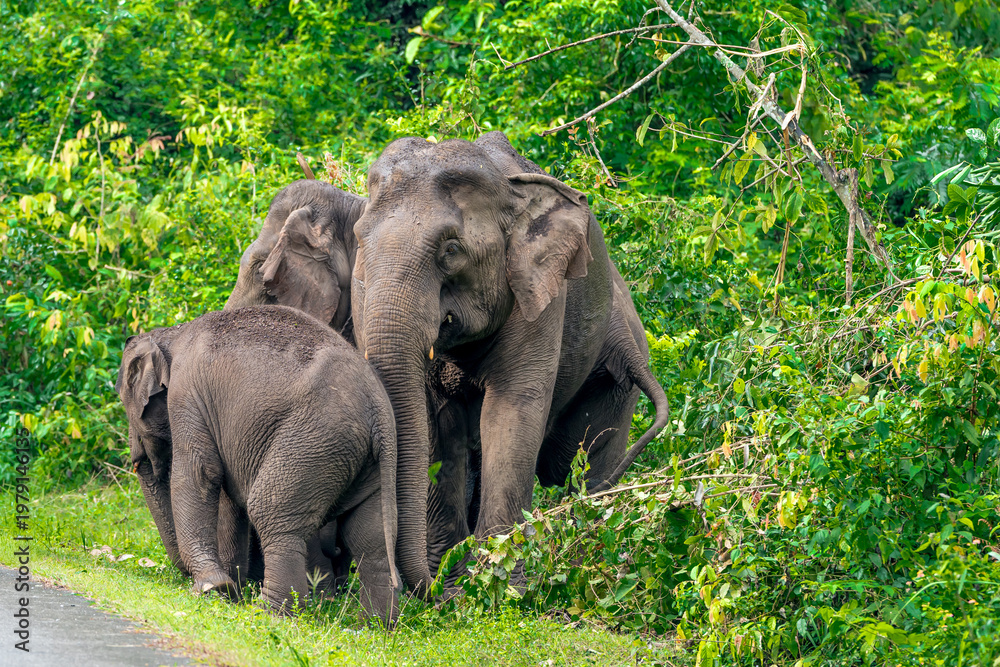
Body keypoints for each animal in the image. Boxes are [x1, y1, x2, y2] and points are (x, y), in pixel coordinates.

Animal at [114, 305, 406, 623]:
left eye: (125, 402)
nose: (140, 454)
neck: (171, 333)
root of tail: (377, 409)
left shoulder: (186, 394)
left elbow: (200, 474)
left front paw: (213, 588)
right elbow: (229, 497)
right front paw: (229, 589)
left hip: (314, 440)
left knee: (271, 512)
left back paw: (267, 611)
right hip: (367, 460)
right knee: (369, 536)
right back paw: (372, 625)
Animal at [351, 131, 670, 592]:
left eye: (451, 249)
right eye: (359, 239)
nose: (418, 588)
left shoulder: (539, 296)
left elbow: (511, 411)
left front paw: (497, 589)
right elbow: (435, 423)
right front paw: (454, 585)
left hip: (616, 381)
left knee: (578, 469)